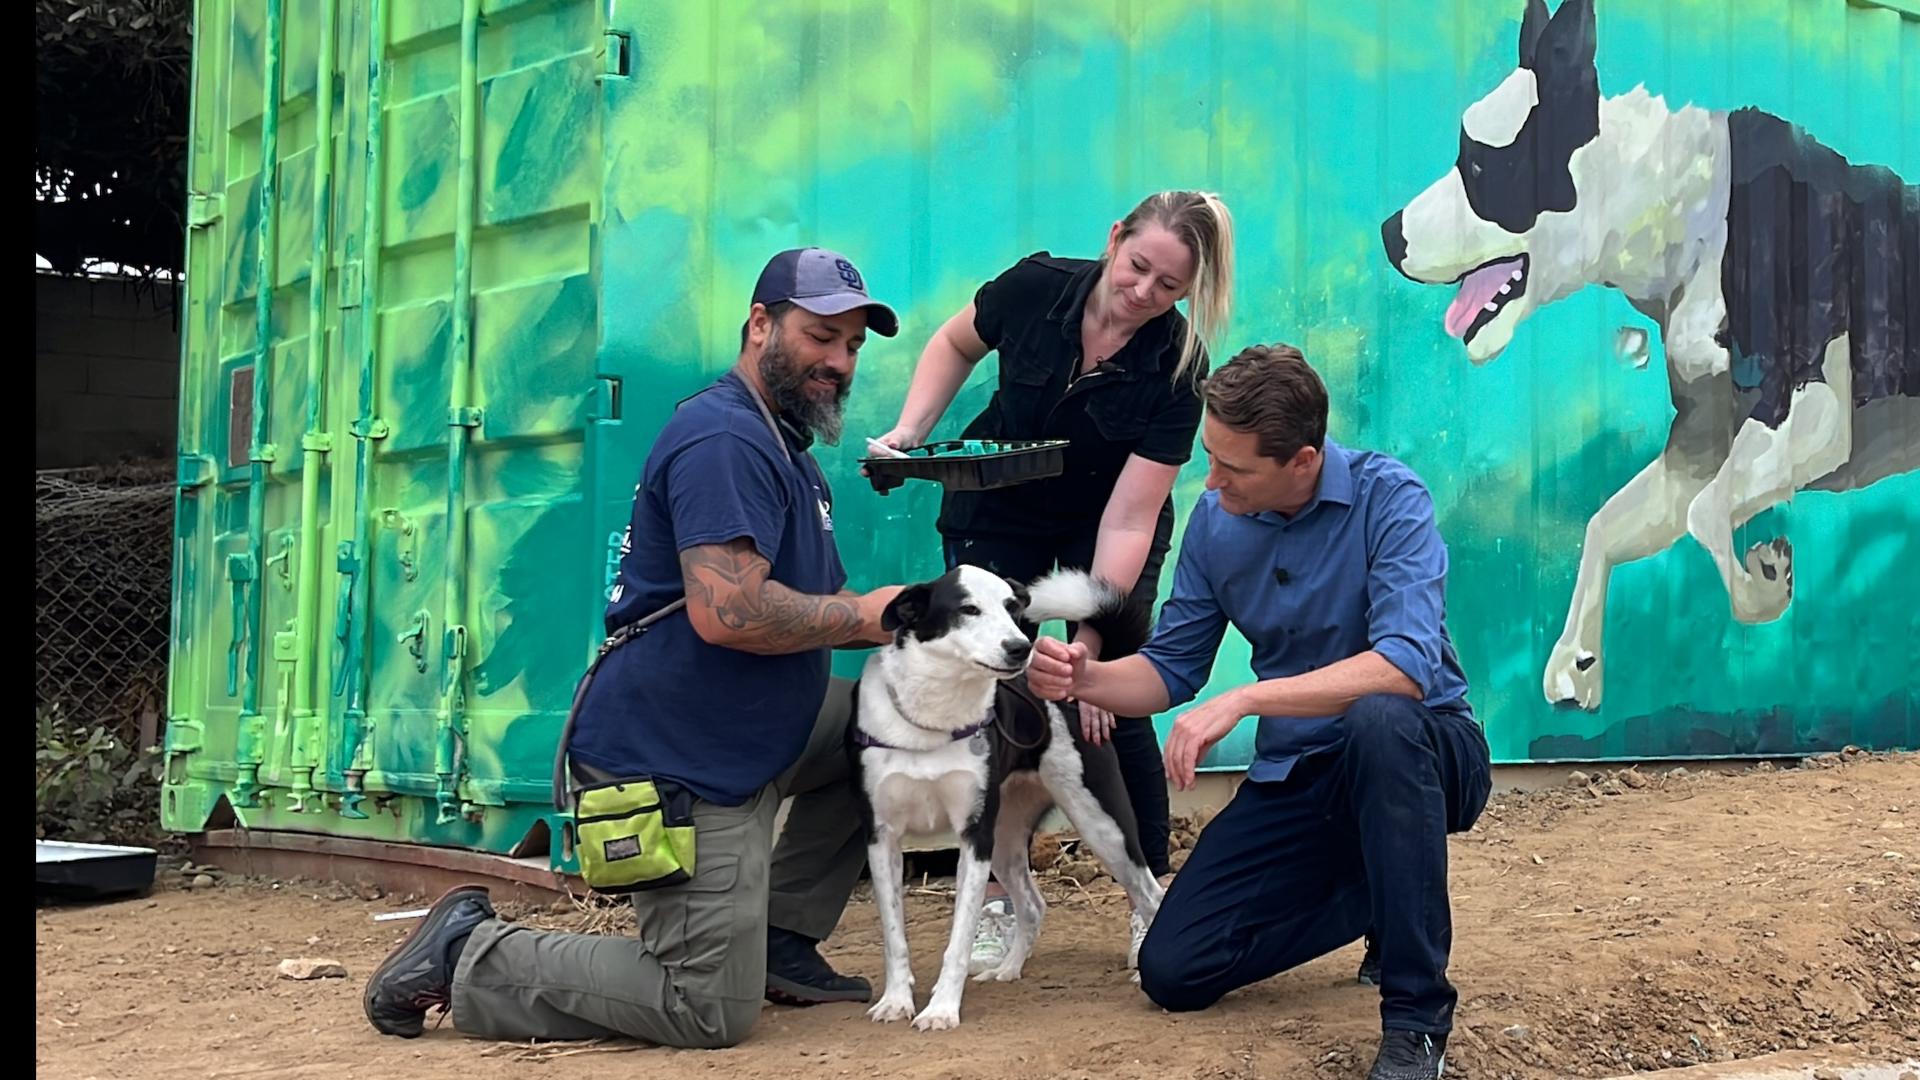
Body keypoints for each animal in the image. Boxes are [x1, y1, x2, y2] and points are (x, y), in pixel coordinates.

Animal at [852, 564, 1152, 1022]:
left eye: (1013, 609)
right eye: (968, 609)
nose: (1020, 648)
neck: (935, 717)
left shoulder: (974, 838)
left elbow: (958, 939)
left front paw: (941, 1009)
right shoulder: (881, 838)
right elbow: (893, 936)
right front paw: (896, 1001)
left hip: (1103, 826)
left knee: (1150, 892)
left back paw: (1143, 967)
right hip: (1008, 839)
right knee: (1032, 905)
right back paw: (1008, 969)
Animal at [1390, 0, 1912, 711]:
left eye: (1477, 167)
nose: (1388, 234)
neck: (1681, 212)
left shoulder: (1815, 415)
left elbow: (1706, 515)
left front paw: (1765, 585)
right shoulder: (1697, 446)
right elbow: (1610, 522)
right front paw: (1576, 658)